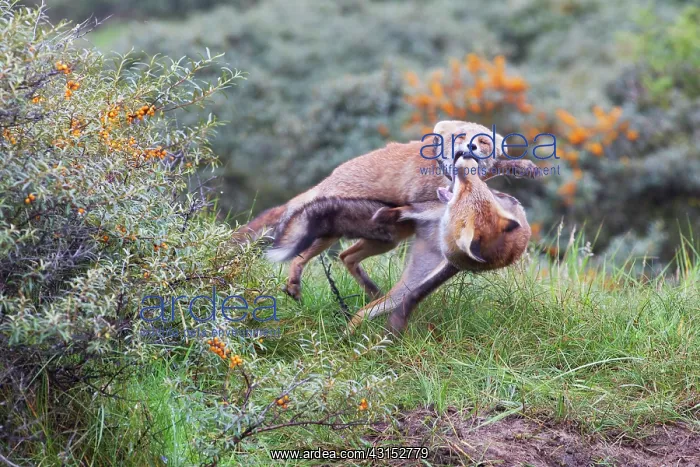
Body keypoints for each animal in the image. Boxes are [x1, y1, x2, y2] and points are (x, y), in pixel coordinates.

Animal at [236, 120, 538, 301]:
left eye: (484, 142)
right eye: (462, 136)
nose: (471, 147)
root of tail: (326, 180)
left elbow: (490, 173)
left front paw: (520, 167)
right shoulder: (428, 196)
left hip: (384, 239)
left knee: (346, 257)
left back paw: (371, 290)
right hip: (336, 232)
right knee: (301, 257)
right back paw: (294, 284)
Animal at [346, 154, 531, 335]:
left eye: (467, 191)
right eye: (472, 189)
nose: (466, 157)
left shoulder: (454, 264)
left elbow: (420, 293)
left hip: (413, 276)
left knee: (366, 307)